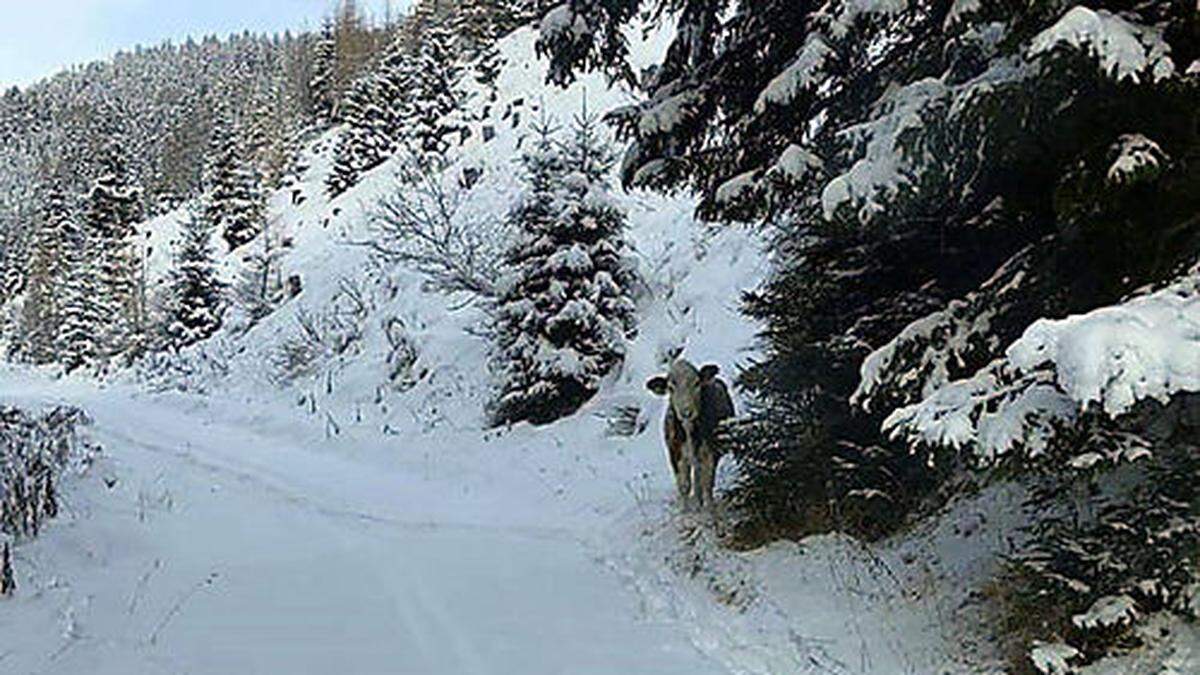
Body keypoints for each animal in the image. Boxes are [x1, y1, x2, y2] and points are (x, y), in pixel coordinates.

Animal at [643, 357, 734, 509]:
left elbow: (707, 483)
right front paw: (685, 509)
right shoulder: (675, 454)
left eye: (697, 383)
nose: (686, 412)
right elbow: (684, 486)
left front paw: (708, 507)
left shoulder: (710, 452)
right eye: (670, 388)